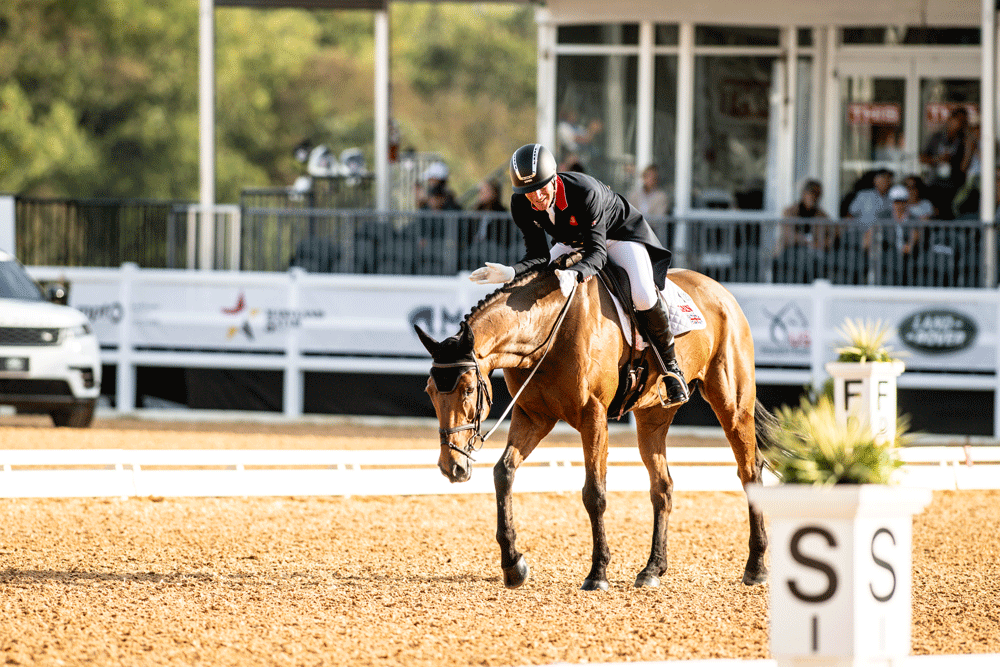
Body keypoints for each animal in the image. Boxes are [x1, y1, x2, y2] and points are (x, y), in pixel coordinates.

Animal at [414, 258, 768, 591]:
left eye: (468, 390)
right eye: (429, 391)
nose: (451, 467)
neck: (548, 331)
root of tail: (720, 290)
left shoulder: (593, 416)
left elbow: (594, 493)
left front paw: (597, 574)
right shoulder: (533, 416)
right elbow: (503, 473)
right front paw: (513, 565)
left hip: (732, 405)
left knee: (749, 472)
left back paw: (756, 568)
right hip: (653, 414)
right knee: (662, 486)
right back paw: (652, 570)